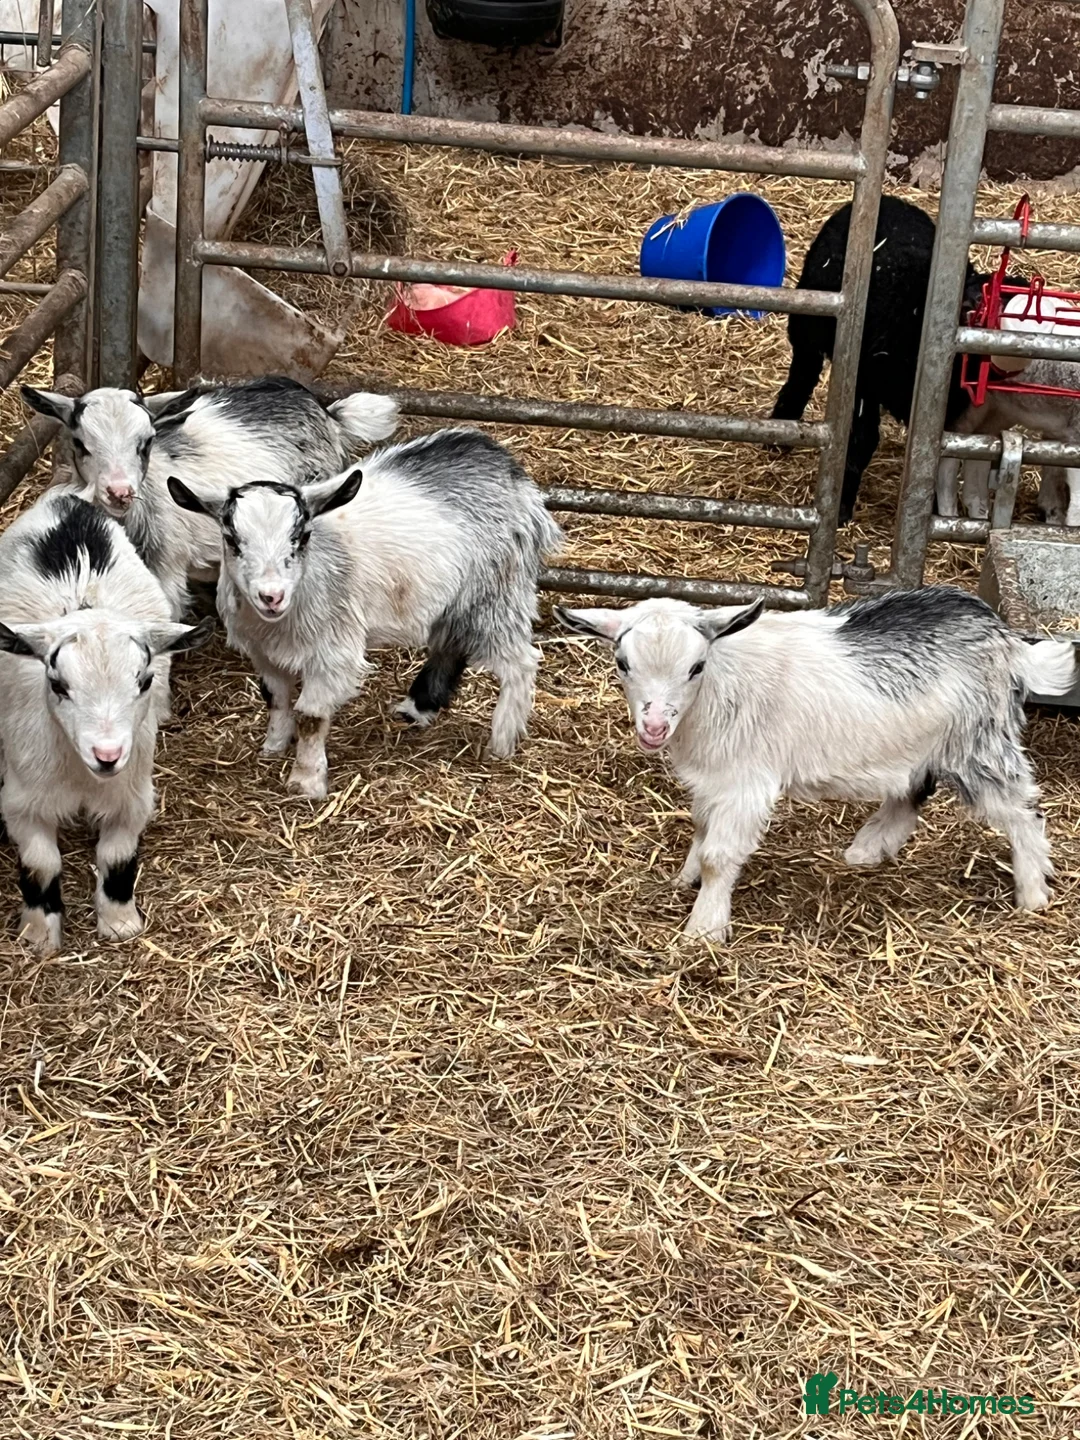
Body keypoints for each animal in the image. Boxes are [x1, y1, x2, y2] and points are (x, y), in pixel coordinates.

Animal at [0, 488, 212, 955]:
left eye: (145, 680)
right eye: (57, 684)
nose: (108, 754)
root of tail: (68, 500)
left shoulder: (132, 795)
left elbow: (116, 857)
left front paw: (119, 923)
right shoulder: (22, 800)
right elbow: (41, 863)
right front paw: (39, 935)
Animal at [167, 428, 563, 799]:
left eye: (302, 536)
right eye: (231, 539)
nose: (271, 596)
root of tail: (510, 470)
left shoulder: (332, 653)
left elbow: (311, 716)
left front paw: (305, 782)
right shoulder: (263, 653)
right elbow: (276, 699)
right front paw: (273, 747)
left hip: (496, 594)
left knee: (520, 662)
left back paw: (501, 743)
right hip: (456, 600)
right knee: (450, 644)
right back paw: (418, 708)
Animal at [557, 587, 1075, 942]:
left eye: (696, 667)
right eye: (623, 663)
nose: (653, 728)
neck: (719, 689)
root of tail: (1006, 638)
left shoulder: (745, 781)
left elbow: (719, 855)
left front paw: (704, 929)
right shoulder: (713, 779)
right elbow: (701, 832)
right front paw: (684, 880)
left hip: (979, 742)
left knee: (1024, 811)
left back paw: (1033, 894)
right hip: (925, 744)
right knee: (911, 791)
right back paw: (868, 849)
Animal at [770, 196, 992, 525]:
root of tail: (890, 199)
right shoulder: (864, 383)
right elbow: (861, 441)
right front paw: (840, 508)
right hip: (808, 323)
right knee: (803, 373)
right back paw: (780, 431)